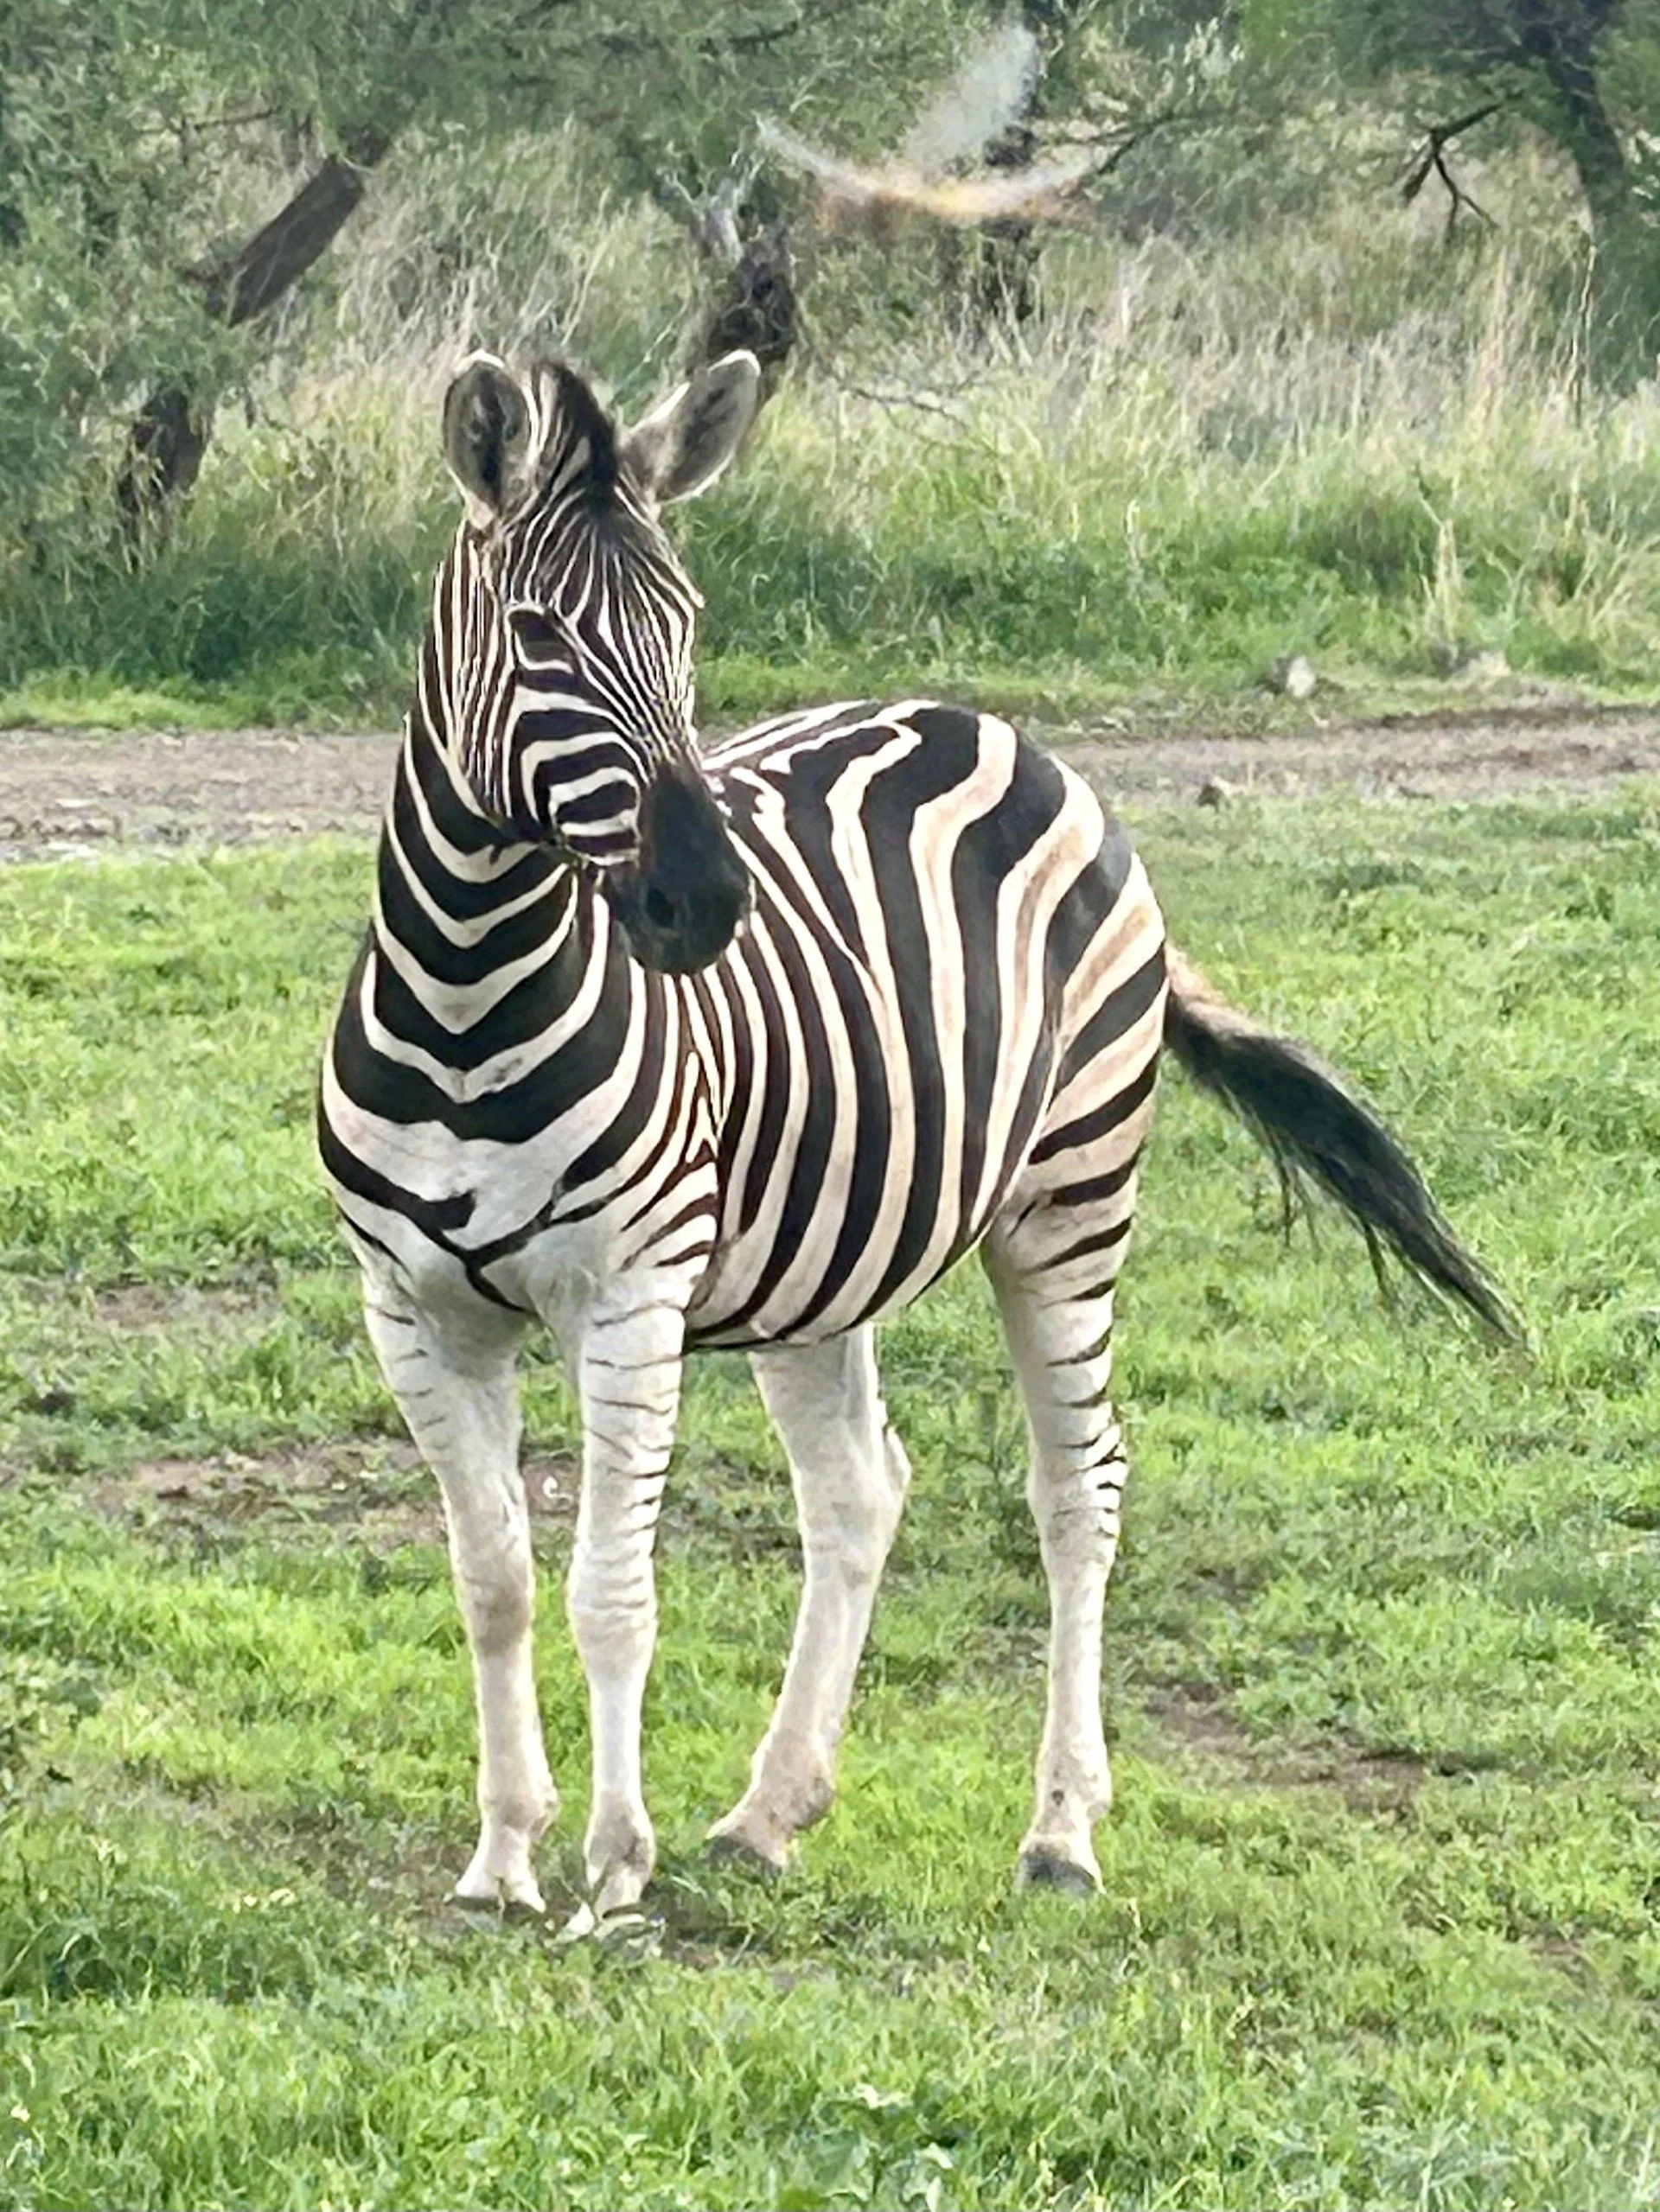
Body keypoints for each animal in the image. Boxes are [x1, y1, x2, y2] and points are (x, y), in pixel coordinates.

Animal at [319, 346, 1509, 1926]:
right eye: (537, 631)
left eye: (688, 622)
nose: (705, 900)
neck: (465, 995)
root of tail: (1001, 727)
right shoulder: (416, 1310)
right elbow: (495, 1581)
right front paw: (504, 1851)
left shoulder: (626, 1296)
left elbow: (606, 1589)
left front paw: (613, 1866)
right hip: (823, 1250)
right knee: (860, 1488)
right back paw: (769, 1809)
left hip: (1071, 1194)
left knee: (1078, 1488)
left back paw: (1060, 1831)